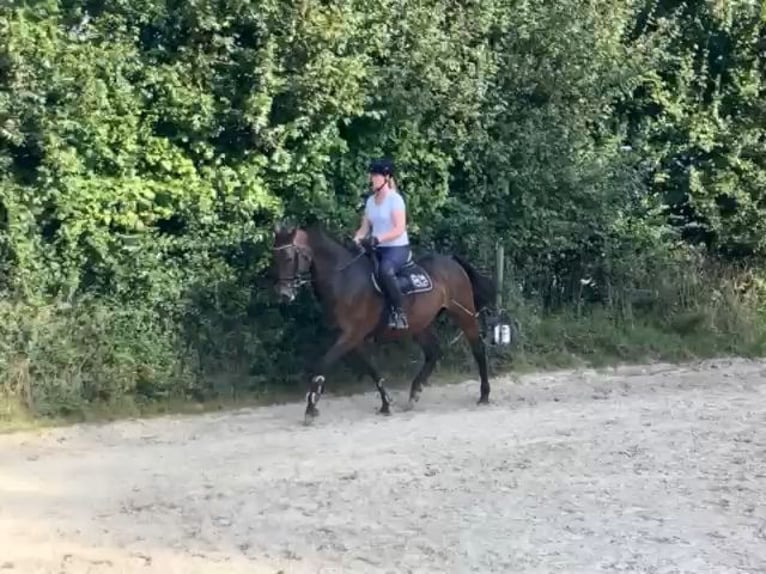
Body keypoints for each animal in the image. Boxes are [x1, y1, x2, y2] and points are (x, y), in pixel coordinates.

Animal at [272, 223, 498, 426]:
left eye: (289, 257)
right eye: (275, 259)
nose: (284, 295)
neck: (344, 279)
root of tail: (451, 261)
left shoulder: (350, 335)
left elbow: (323, 365)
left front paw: (311, 408)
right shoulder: (355, 339)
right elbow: (373, 369)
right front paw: (386, 404)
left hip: (463, 313)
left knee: (478, 348)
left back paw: (484, 395)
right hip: (419, 325)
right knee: (433, 351)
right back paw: (415, 392)